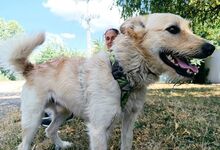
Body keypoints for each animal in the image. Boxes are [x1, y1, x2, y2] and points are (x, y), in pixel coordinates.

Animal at [0, 13, 214, 150]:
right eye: (173, 29)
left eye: (189, 28)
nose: (211, 47)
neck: (123, 72)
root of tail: (32, 68)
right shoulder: (98, 129)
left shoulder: (128, 121)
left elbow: (126, 143)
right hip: (33, 119)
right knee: (24, 144)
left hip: (64, 111)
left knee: (50, 130)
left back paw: (61, 145)